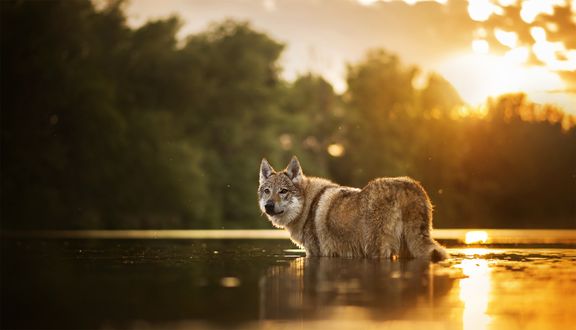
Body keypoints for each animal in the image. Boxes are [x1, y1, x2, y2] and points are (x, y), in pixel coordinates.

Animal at [258, 156, 450, 262]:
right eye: (267, 191)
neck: (307, 205)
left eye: (283, 191)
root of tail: (407, 186)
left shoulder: (315, 253)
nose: (268, 206)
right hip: (409, 248)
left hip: (376, 250)